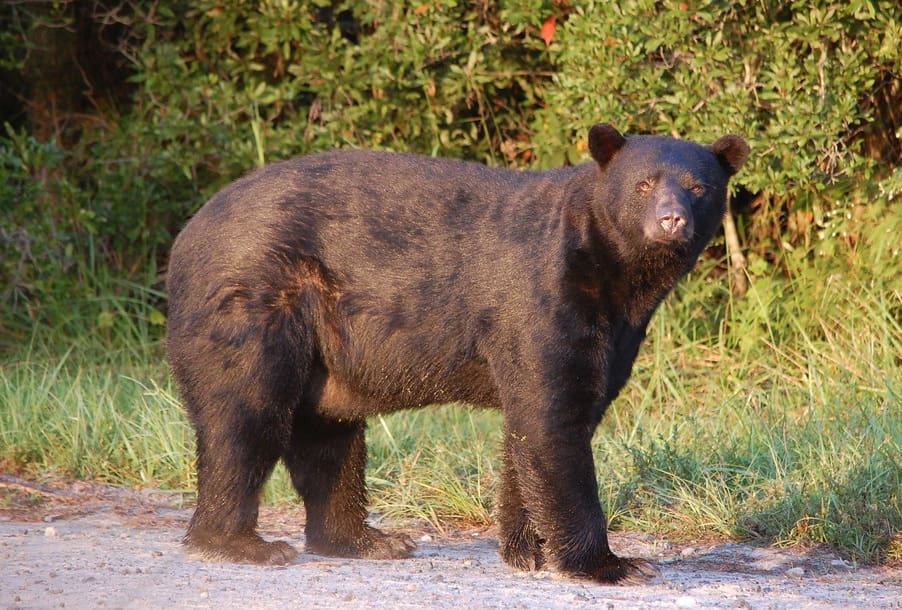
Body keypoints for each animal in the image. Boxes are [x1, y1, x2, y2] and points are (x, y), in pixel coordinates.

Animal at [165, 124, 748, 584]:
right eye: (644, 183)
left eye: (698, 187)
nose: (671, 219)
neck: (617, 277)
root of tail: (186, 234)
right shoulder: (543, 296)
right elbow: (554, 420)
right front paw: (611, 564)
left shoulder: (615, 329)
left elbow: (538, 426)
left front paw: (526, 550)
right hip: (255, 298)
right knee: (246, 414)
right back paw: (240, 544)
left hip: (324, 347)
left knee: (328, 435)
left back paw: (367, 540)